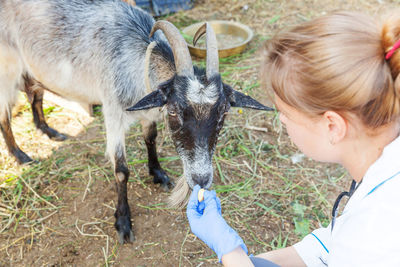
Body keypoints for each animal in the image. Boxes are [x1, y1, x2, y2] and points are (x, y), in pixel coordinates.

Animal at [0, 0, 272, 244]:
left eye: (223, 113)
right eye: (174, 112)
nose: (201, 179)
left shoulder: (148, 114)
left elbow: (150, 139)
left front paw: (158, 174)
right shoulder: (113, 113)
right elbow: (121, 170)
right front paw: (123, 222)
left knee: (35, 94)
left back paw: (48, 131)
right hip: (7, 71)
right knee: (5, 116)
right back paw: (21, 156)